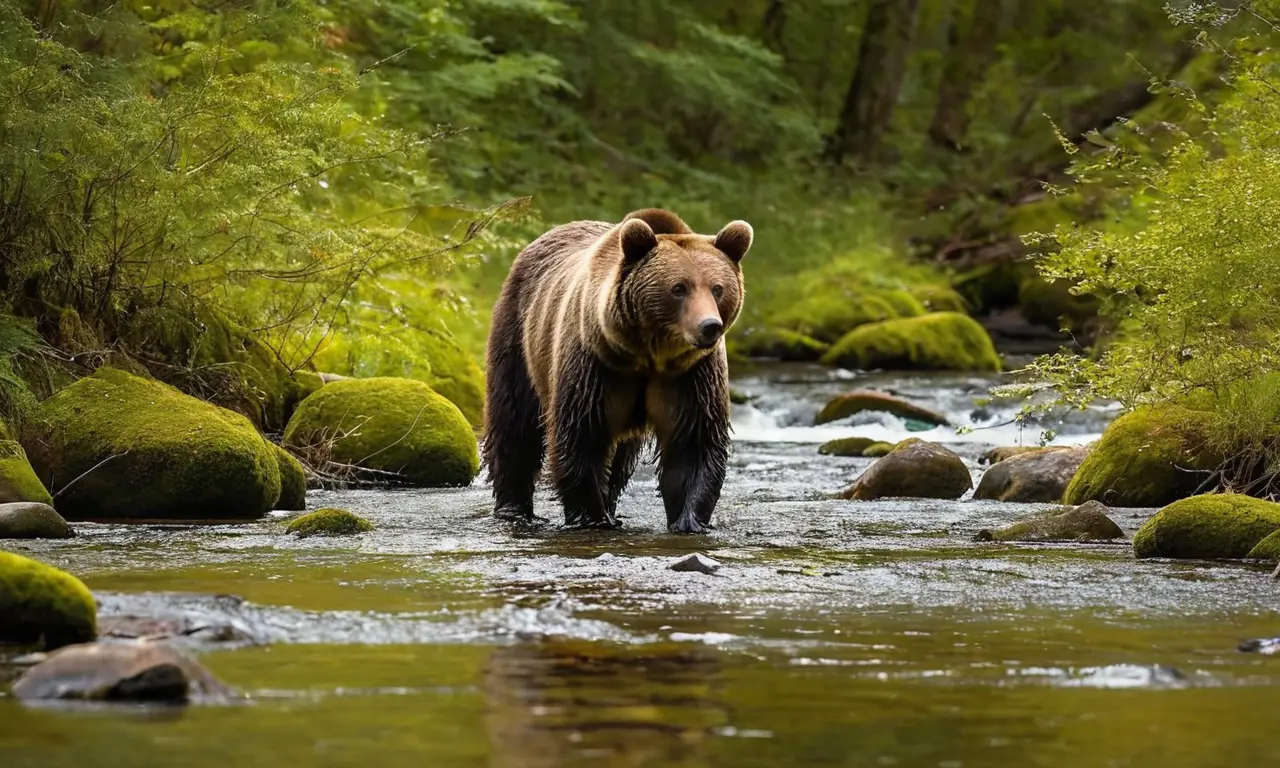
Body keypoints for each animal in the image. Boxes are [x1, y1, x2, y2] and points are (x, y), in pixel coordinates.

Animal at [482, 208, 753, 533]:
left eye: (717, 288)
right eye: (679, 288)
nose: (709, 326)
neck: (649, 355)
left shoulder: (690, 374)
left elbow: (693, 442)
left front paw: (689, 520)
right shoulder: (595, 364)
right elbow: (581, 433)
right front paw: (591, 517)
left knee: (621, 456)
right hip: (518, 335)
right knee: (514, 420)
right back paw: (513, 508)